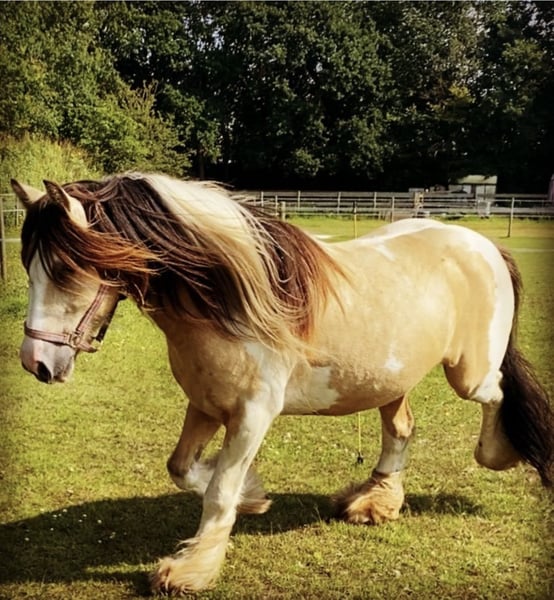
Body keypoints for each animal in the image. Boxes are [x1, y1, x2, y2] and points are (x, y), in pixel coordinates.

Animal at [11, 173, 553, 595]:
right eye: (27, 266)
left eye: (64, 270)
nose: (36, 362)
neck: (226, 302)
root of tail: (484, 245)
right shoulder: (205, 406)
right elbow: (183, 469)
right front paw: (254, 498)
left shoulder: (252, 414)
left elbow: (218, 490)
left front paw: (190, 570)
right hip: (390, 379)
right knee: (401, 429)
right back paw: (375, 502)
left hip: (468, 375)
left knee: (498, 392)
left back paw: (496, 454)